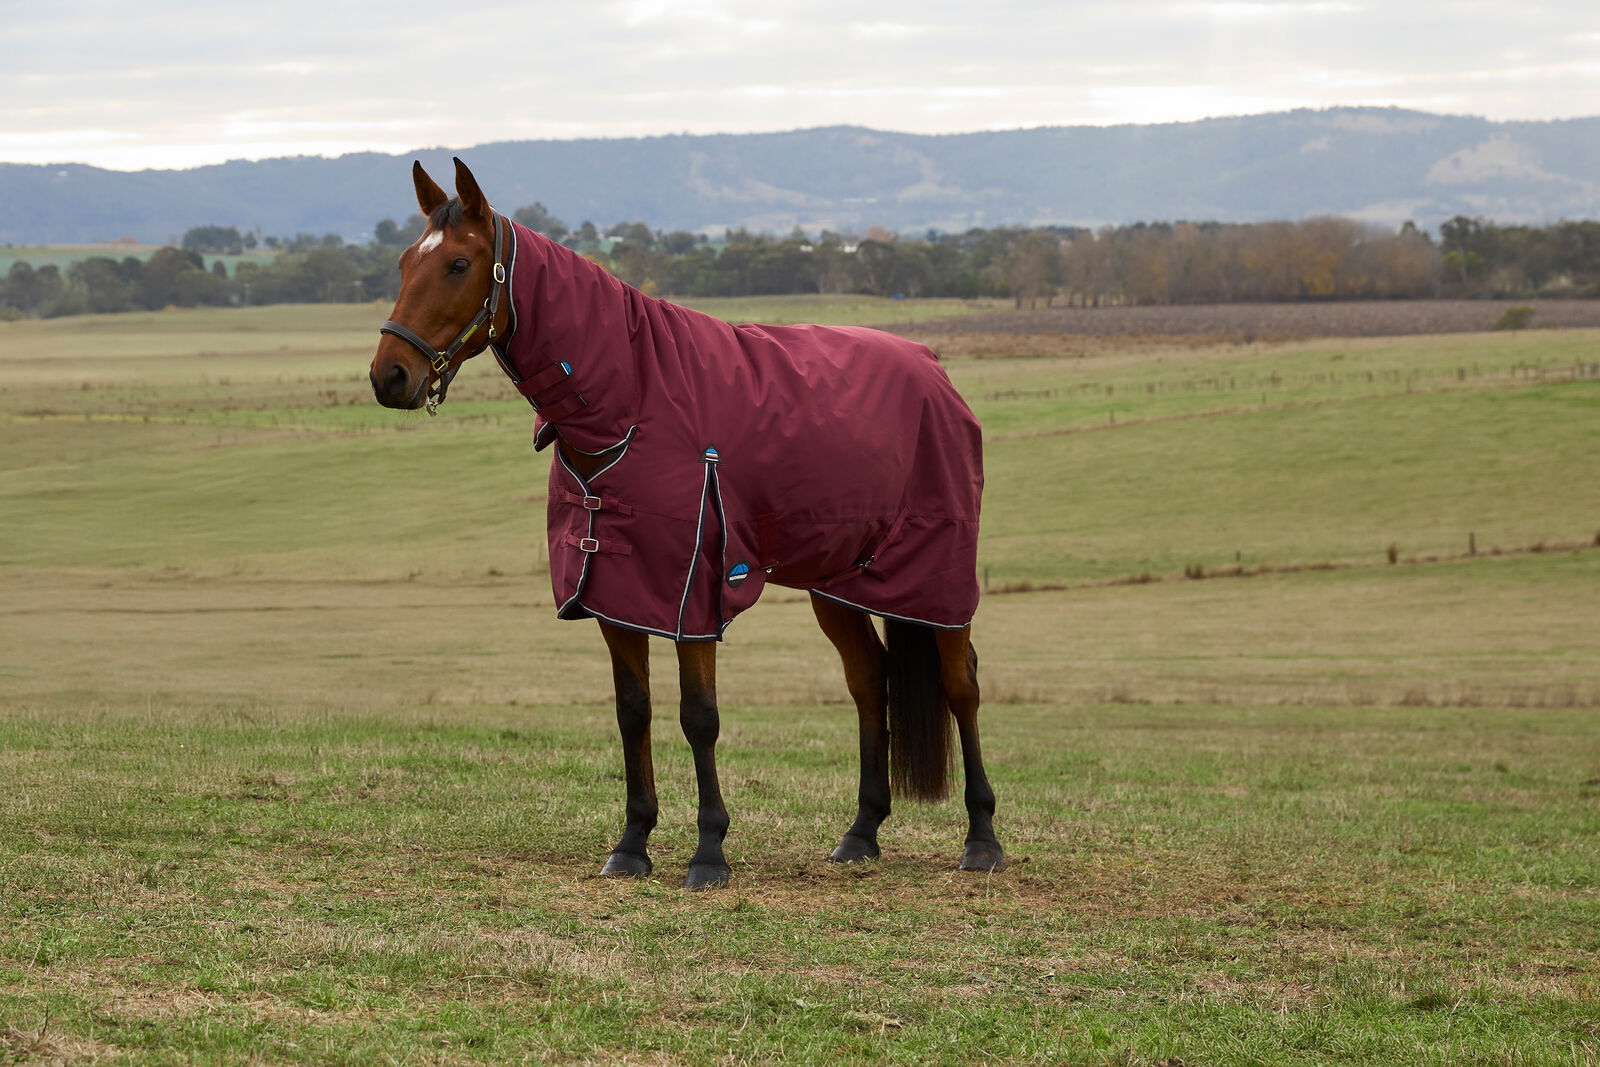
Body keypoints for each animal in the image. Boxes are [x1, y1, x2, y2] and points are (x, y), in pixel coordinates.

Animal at [369, 158, 1002, 890]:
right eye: (404, 261)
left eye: (458, 264)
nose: (389, 376)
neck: (633, 402)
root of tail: (933, 369)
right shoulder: (616, 592)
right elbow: (632, 712)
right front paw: (632, 843)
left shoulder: (691, 594)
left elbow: (699, 717)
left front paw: (708, 851)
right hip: (838, 583)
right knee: (870, 679)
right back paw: (861, 831)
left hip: (936, 579)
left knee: (962, 685)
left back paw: (982, 837)